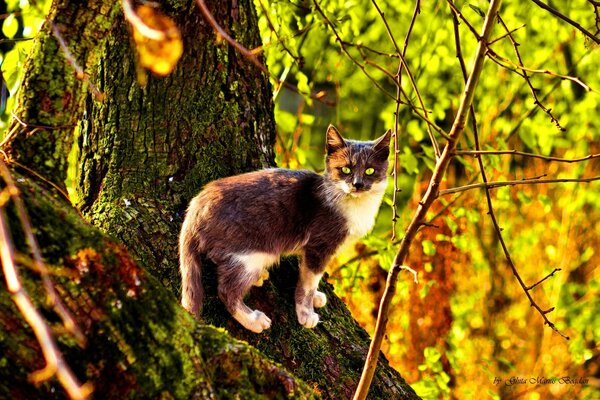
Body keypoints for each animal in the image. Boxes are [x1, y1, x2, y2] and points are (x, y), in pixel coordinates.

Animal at [178, 124, 392, 332]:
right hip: (250, 254)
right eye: (345, 169)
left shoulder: (309, 250)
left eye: (370, 171)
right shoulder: (319, 245)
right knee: (225, 290)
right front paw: (306, 313)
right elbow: (309, 281)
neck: (353, 206)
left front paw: (316, 296)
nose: (357, 184)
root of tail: (196, 204)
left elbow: (307, 275)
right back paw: (253, 320)